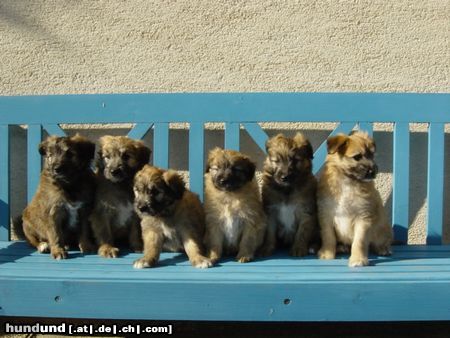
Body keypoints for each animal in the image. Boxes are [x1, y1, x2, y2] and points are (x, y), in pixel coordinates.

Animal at [316, 130, 394, 266]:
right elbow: (328, 236)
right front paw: (327, 253)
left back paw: (383, 248)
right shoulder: (326, 214)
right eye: (357, 157)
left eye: (372, 155)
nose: (374, 171)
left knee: (381, 240)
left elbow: (359, 241)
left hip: (383, 228)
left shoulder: (363, 217)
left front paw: (358, 259)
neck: (348, 182)